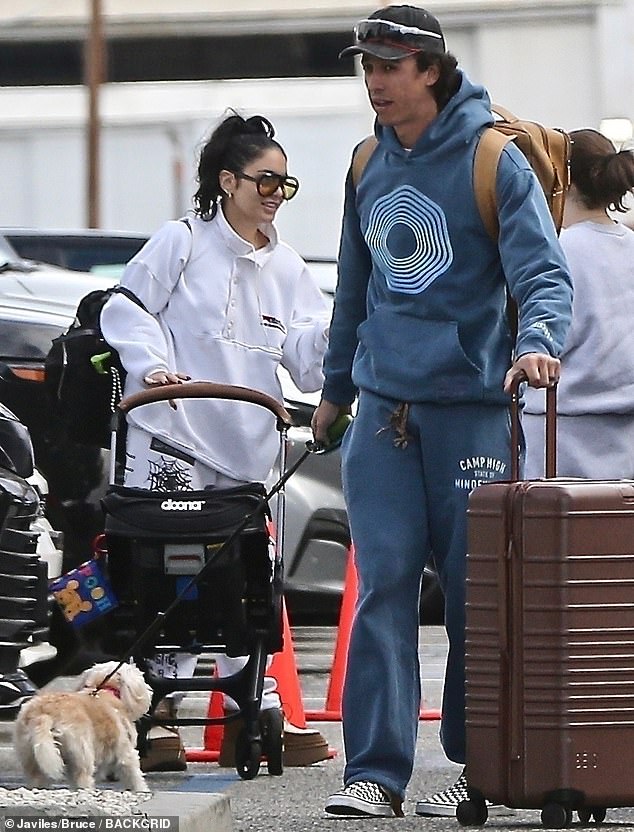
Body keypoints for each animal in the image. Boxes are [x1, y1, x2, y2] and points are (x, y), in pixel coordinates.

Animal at [14, 660, 152, 788]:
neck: (107, 691)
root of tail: (43, 713)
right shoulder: (124, 753)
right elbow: (133, 775)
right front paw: (140, 790)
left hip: (32, 754)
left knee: (37, 778)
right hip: (81, 752)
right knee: (82, 776)